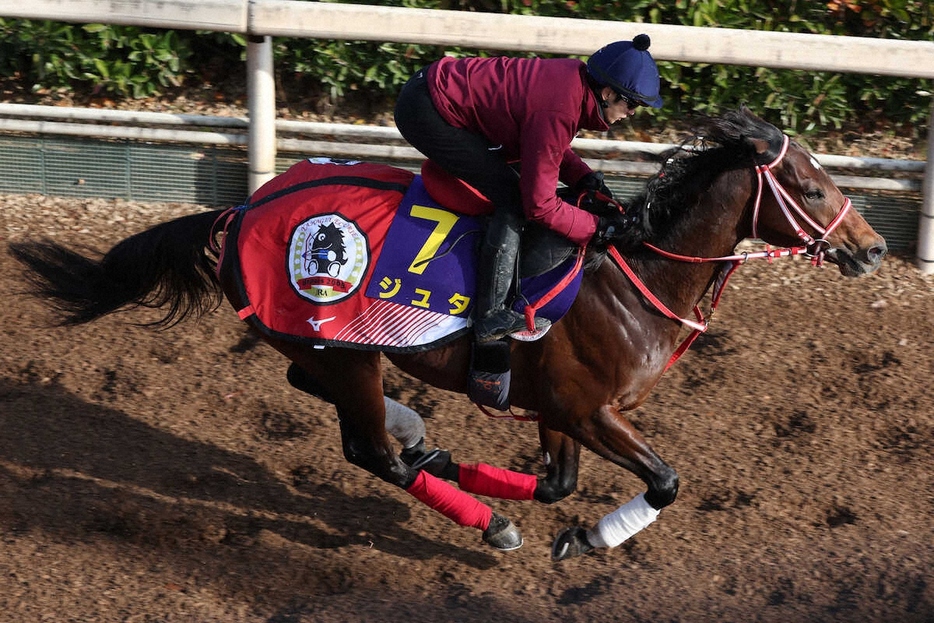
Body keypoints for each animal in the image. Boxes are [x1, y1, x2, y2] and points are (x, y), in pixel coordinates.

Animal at [9, 109, 884, 564]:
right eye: (810, 188)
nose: (872, 247)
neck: (634, 277)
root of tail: (244, 208)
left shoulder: (557, 407)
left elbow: (557, 481)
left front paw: (486, 477)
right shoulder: (589, 408)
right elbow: (664, 480)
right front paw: (588, 534)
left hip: (329, 345)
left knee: (321, 394)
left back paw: (422, 439)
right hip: (340, 347)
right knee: (368, 451)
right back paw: (477, 513)